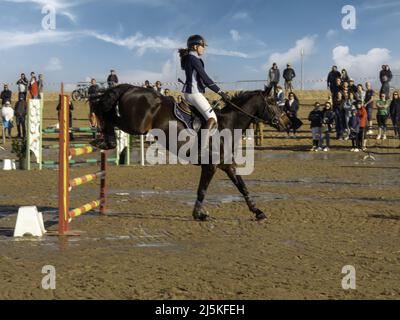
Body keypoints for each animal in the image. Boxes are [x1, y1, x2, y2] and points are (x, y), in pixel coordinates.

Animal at [90, 84, 290, 221]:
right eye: (272, 102)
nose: (286, 123)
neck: (228, 125)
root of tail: (131, 88)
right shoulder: (210, 166)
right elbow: (202, 190)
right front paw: (198, 214)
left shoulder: (227, 165)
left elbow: (242, 186)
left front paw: (258, 212)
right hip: (135, 125)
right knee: (108, 115)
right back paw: (105, 139)